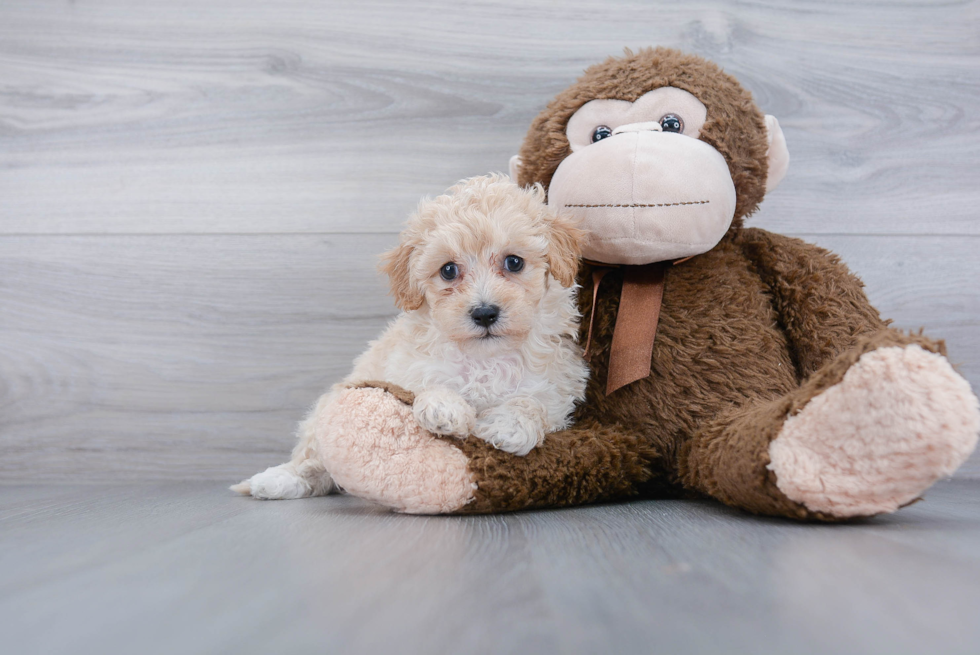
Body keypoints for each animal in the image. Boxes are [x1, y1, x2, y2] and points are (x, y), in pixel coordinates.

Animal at [235, 174, 588, 502]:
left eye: (514, 262)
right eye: (448, 270)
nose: (485, 313)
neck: (485, 357)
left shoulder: (556, 389)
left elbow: (532, 402)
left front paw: (509, 424)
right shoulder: (407, 369)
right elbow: (426, 386)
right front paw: (444, 408)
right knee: (314, 461)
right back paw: (277, 480)